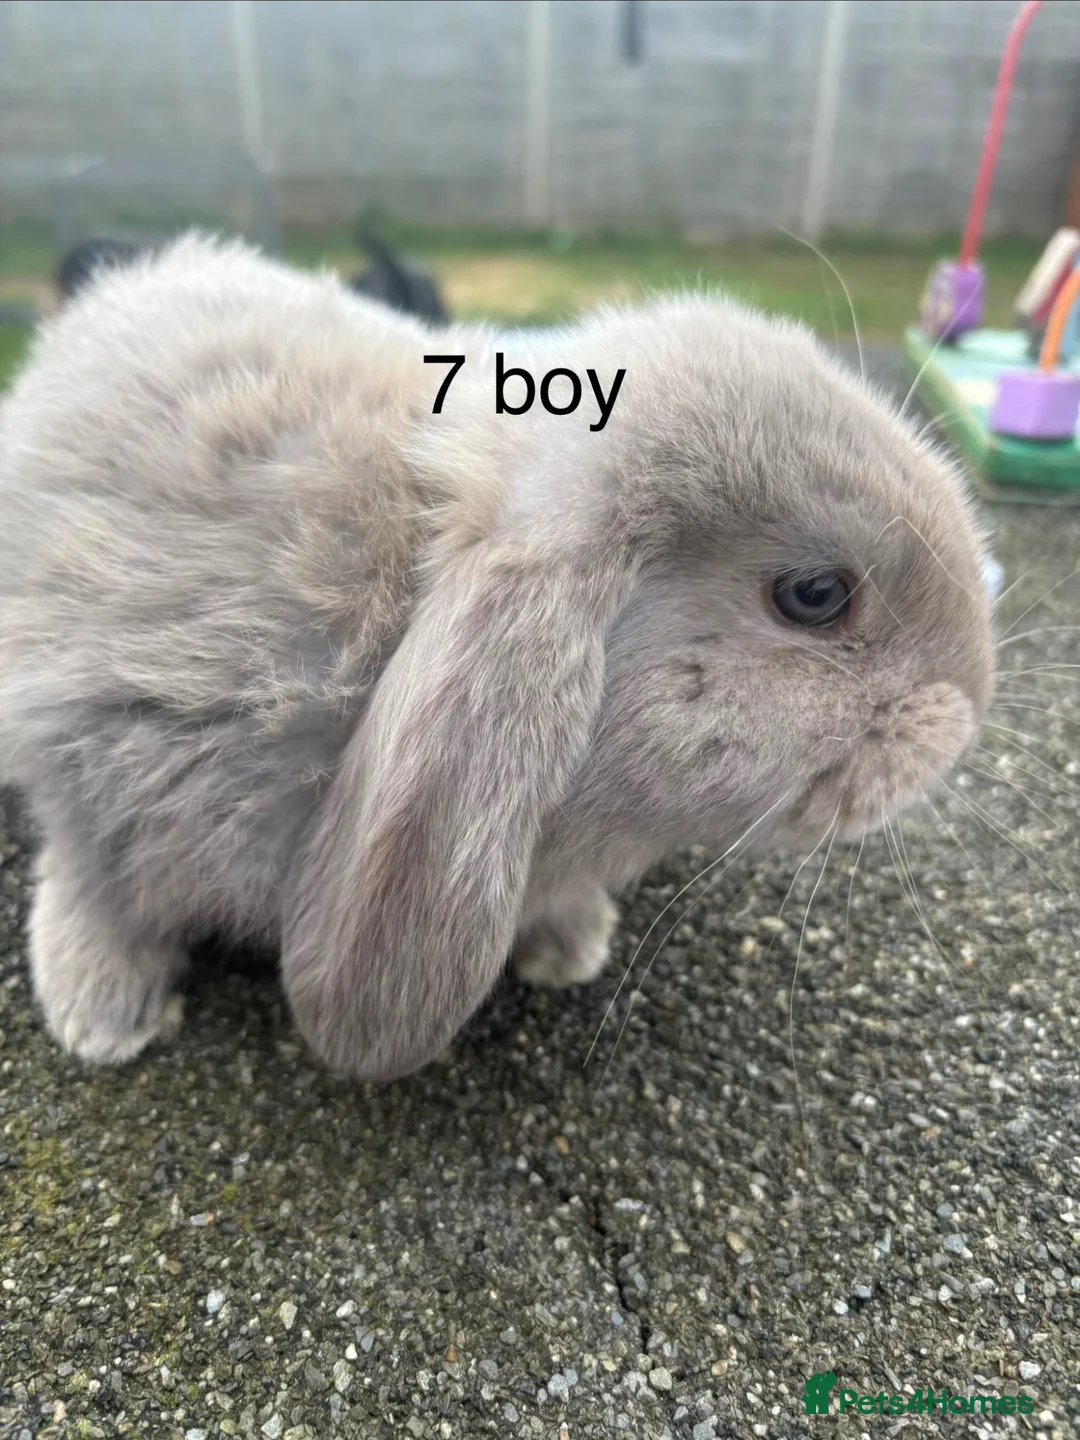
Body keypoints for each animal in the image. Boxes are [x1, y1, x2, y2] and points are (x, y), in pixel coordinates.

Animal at [0, 232, 994, 1082]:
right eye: (815, 595)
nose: (966, 715)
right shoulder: (99, 757)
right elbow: (95, 883)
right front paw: (102, 1017)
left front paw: (569, 946)